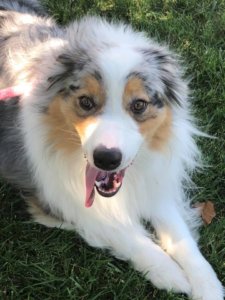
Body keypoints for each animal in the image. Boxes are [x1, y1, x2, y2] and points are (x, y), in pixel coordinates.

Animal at [0, 0, 223, 300]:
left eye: (139, 105)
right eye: (85, 101)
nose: (106, 159)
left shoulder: (153, 181)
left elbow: (179, 234)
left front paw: (206, 284)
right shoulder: (58, 196)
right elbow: (124, 233)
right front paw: (170, 273)